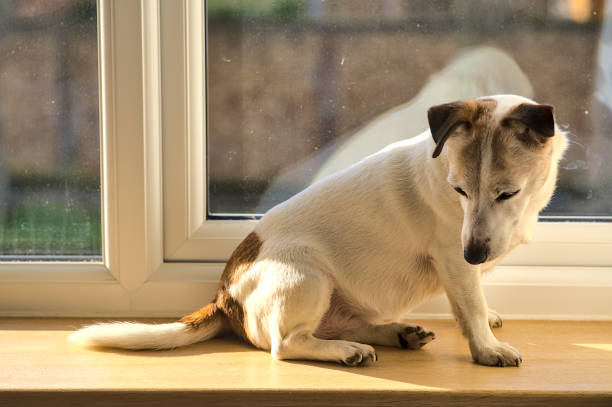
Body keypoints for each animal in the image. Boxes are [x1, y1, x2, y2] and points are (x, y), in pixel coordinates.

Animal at [69, 95, 568, 370]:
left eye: (507, 193)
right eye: (458, 189)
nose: (476, 255)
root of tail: (224, 295)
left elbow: (477, 300)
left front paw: (490, 315)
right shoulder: (452, 256)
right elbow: (470, 309)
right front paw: (488, 347)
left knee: (350, 325)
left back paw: (395, 333)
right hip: (309, 278)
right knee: (287, 345)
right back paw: (345, 351)